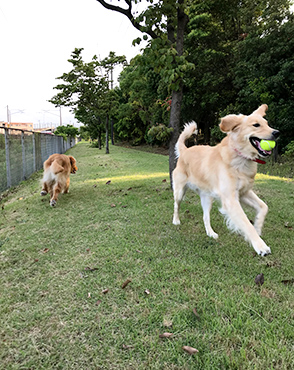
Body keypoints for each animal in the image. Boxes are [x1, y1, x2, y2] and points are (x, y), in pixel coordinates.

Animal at [172, 104, 280, 254]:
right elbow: (246, 223)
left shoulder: (244, 192)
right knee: (176, 205)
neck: (241, 158)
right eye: (256, 125)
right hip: (180, 191)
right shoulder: (231, 200)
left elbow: (264, 207)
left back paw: (210, 233)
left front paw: (258, 227)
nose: (277, 133)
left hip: (207, 198)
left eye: (267, 124)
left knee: (205, 217)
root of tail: (185, 150)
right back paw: (176, 221)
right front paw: (260, 245)